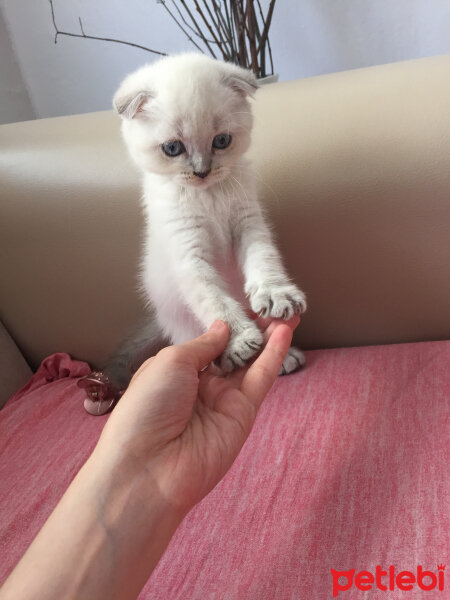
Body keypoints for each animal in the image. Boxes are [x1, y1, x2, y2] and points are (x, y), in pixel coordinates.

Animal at [107, 54, 308, 386]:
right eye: (172, 148)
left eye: (221, 141)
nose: (201, 171)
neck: (207, 195)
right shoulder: (189, 254)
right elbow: (216, 303)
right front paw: (238, 342)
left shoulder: (248, 225)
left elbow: (263, 260)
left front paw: (275, 294)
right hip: (181, 320)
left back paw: (285, 358)